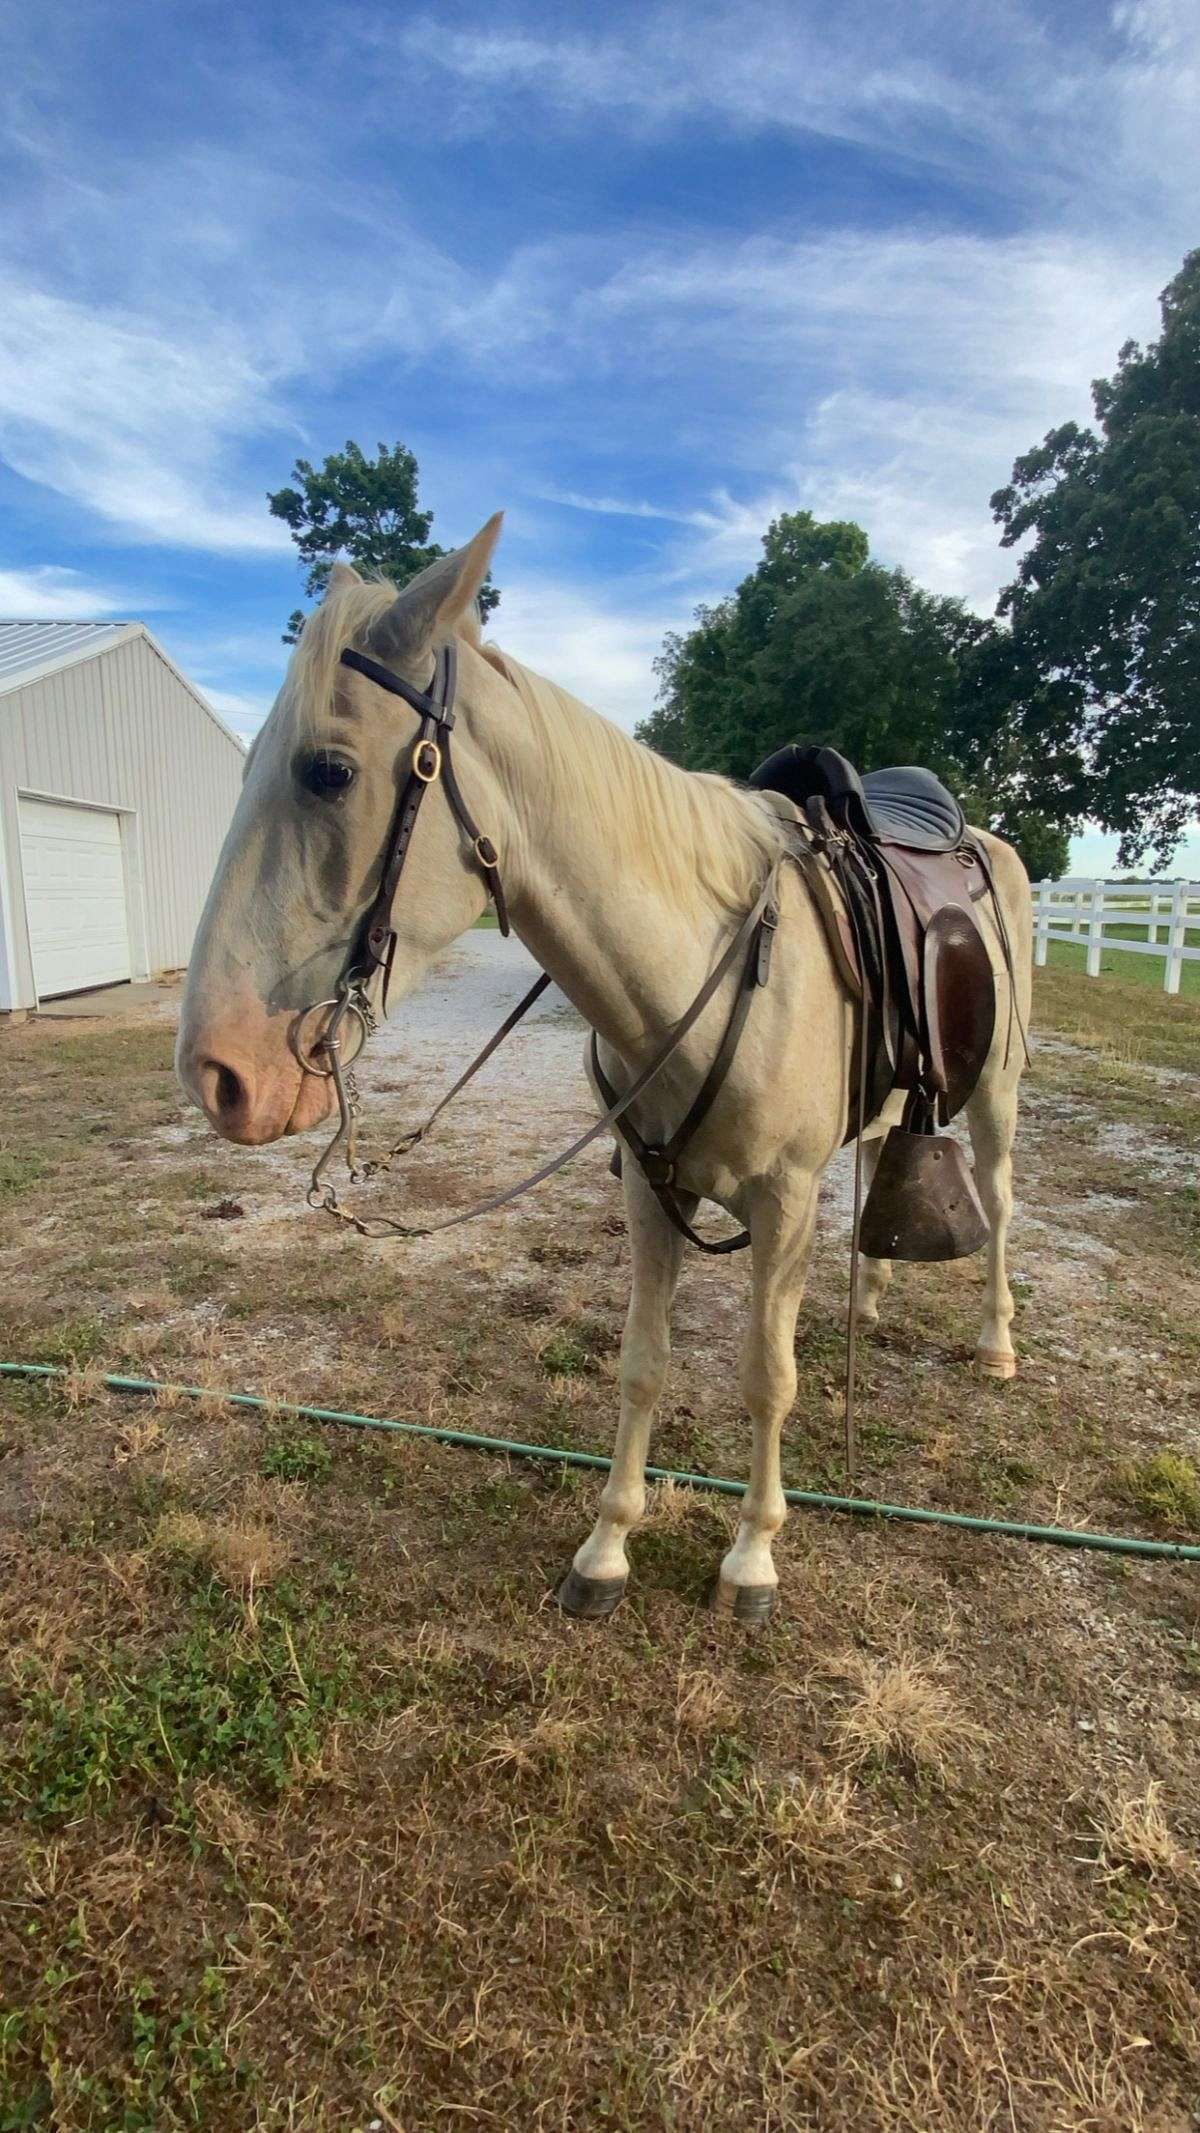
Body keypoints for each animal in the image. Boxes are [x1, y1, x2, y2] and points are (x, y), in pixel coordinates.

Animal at [177, 515, 1032, 1622]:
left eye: (328, 770)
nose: (217, 1074)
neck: (703, 961)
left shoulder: (785, 1197)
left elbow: (767, 1375)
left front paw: (751, 1557)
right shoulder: (648, 1189)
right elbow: (642, 1365)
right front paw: (608, 1548)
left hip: (999, 1096)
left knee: (1001, 1205)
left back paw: (998, 1342)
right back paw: (872, 1299)